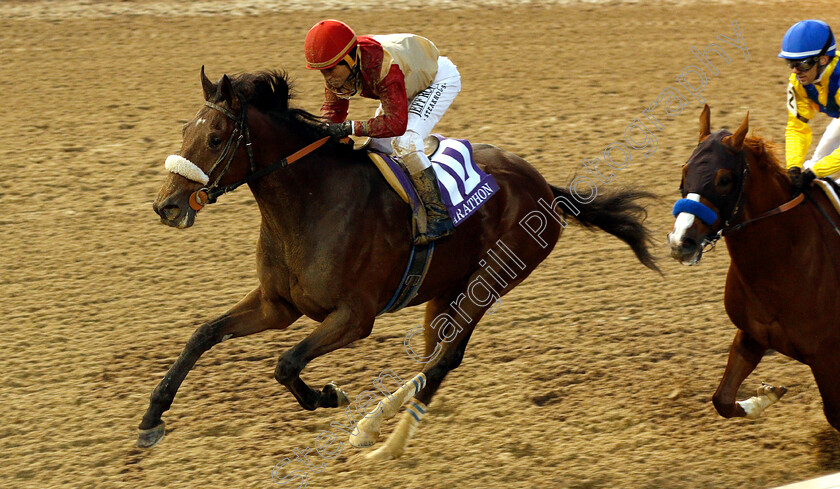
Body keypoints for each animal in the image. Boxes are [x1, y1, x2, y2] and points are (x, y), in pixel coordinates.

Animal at [141, 66, 660, 456]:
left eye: (214, 137)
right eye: (184, 130)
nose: (167, 206)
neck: (309, 205)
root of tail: (544, 188)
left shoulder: (355, 317)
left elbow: (286, 364)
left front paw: (328, 396)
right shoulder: (278, 304)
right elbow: (204, 333)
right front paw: (151, 417)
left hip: (487, 284)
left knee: (444, 360)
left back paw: (385, 444)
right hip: (445, 290)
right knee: (436, 356)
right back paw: (371, 428)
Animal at [672, 104, 840, 430]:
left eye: (724, 179)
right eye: (685, 170)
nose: (680, 241)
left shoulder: (826, 355)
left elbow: (836, 414)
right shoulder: (751, 335)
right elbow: (722, 400)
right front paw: (767, 394)